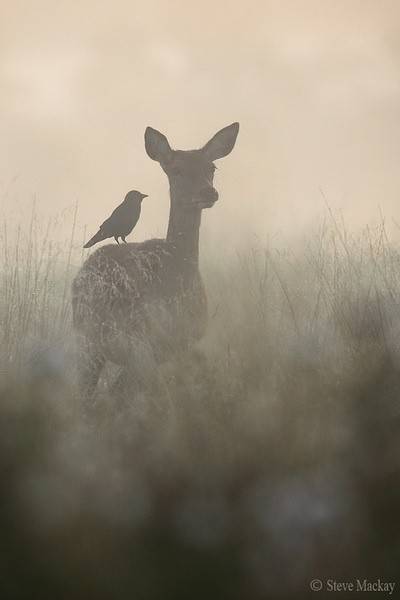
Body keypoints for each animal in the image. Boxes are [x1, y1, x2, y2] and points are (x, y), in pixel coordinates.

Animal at [71, 122, 239, 400]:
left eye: (211, 168)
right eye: (176, 169)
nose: (208, 192)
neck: (182, 257)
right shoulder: (176, 340)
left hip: (89, 343)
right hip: (135, 341)